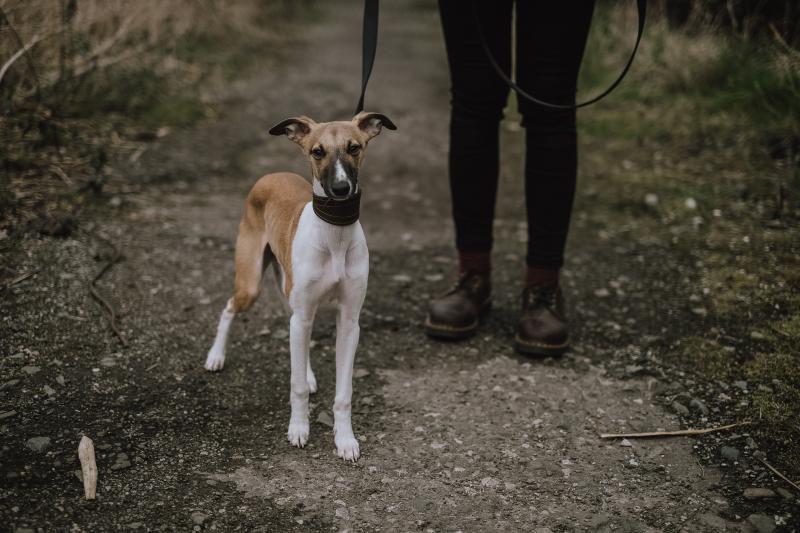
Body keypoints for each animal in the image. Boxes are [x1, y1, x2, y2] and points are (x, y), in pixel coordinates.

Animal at [205, 110, 396, 460]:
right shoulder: (304, 311)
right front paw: (298, 429)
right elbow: (294, 387)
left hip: (291, 296)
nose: (340, 189)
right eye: (317, 152)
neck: (334, 234)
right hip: (251, 284)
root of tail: (271, 174)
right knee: (229, 308)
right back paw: (215, 356)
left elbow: (344, 391)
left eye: (354, 147)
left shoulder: (349, 322)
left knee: (295, 333)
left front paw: (345, 439)